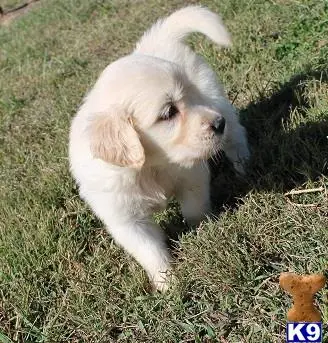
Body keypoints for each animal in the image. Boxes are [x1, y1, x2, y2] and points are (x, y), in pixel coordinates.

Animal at [68, 5, 249, 292]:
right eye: (168, 112)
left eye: (190, 97)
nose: (217, 123)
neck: (150, 165)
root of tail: (155, 40)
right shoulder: (126, 219)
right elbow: (150, 251)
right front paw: (167, 283)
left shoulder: (192, 176)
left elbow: (194, 209)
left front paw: (204, 230)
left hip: (217, 102)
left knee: (236, 136)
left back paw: (243, 166)